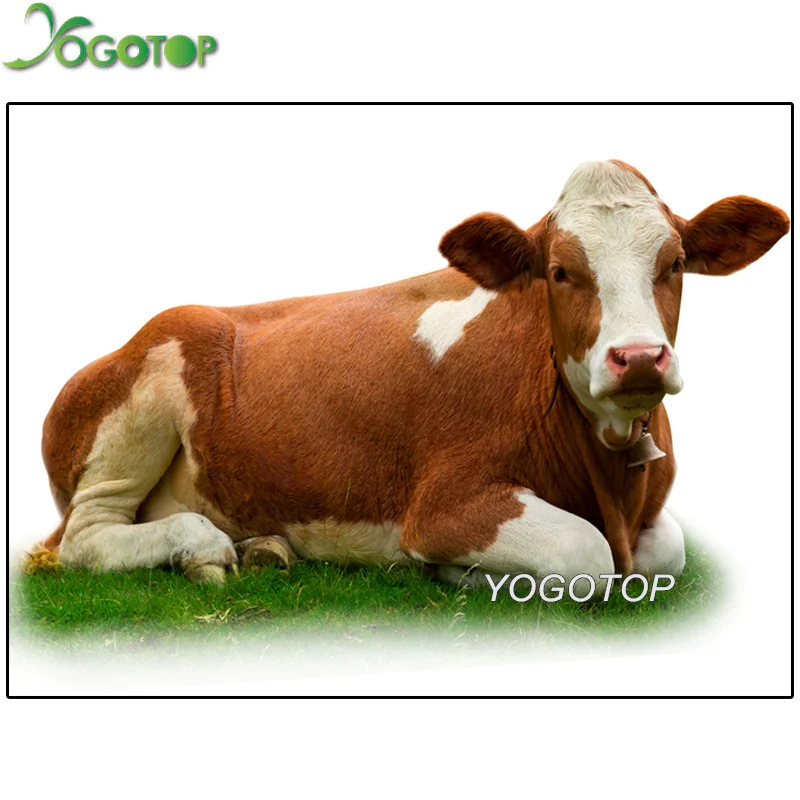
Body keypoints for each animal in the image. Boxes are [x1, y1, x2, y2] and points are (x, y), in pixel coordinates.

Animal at [32, 160, 789, 596]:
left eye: (675, 263)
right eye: (559, 271)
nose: (637, 357)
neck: (611, 478)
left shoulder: (651, 514)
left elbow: (669, 552)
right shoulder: (448, 501)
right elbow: (587, 557)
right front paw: (456, 572)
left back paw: (264, 547)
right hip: (151, 381)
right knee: (82, 539)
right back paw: (200, 547)